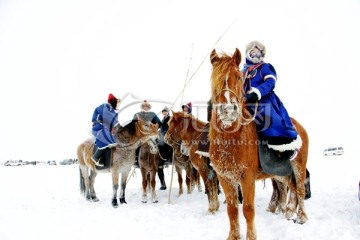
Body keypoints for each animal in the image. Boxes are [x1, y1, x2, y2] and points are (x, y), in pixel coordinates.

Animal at [210, 47, 308, 239]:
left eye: (238, 77)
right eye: (215, 78)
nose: (228, 110)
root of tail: (299, 127)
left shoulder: (247, 177)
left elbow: (248, 209)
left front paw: (251, 236)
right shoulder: (225, 178)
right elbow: (232, 210)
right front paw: (233, 236)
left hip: (298, 166)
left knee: (300, 189)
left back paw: (301, 217)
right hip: (280, 172)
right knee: (290, 187)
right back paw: (289, 211)